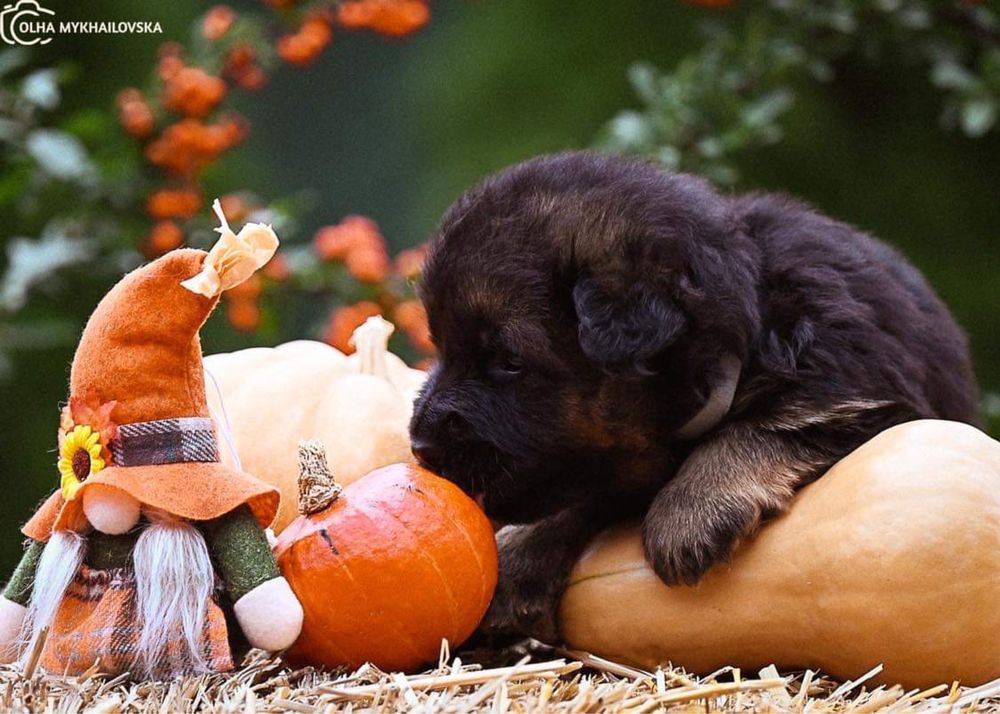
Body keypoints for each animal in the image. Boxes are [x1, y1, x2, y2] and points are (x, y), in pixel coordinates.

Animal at [410, 150, 980, 640]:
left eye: (508, 361)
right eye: (442, 347)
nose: (419, 447)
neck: (752, 332)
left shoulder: (862, 395)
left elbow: (771, 423)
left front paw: (692, 511)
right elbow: (582, 490)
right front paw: (518, 552)